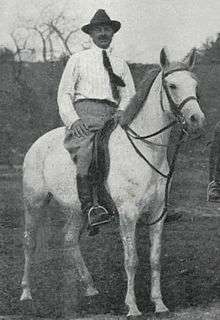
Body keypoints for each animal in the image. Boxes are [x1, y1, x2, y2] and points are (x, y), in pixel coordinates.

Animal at [20, 48, 205, 318]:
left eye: (195, 84)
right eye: (172, 85)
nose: (196, 120)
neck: (146, 150)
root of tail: (37, 143)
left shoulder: (157, 213)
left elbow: (155, 259)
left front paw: (159, 304)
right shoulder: (128, 214)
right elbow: (131, 260)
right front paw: (133, 307)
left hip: (77, 208)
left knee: (70, 239)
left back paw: (89, 287)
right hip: (34, 203)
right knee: (29, 242)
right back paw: (26, 293)